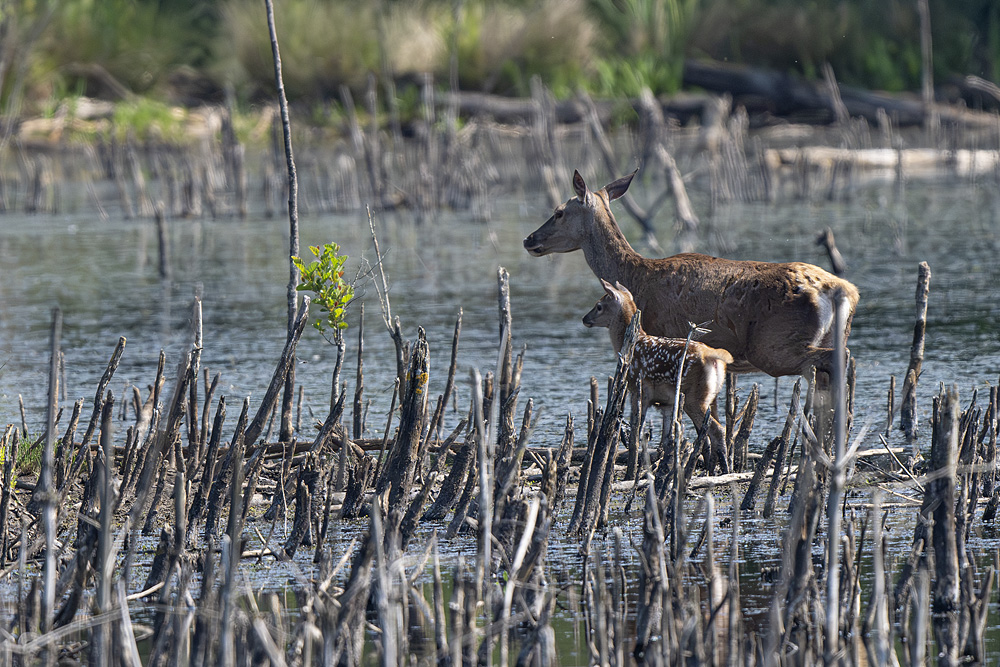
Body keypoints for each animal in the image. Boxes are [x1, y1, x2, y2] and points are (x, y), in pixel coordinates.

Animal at [524, 170, 860, 380]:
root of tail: (842, 289)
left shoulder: (666, 336)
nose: (529, 239)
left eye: (558, 212)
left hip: (773, 344)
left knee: (833, 360)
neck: (636, 277)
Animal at [580, 280, 736, 472]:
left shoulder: (637, 389)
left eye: (599, 306)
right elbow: (667, 438)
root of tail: (713, 356)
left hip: (694, 397)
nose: (585, 319)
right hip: (708, 397)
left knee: (717, 431)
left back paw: (724, 470)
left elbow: (637, 428)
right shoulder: (667, 403)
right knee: (710, 434)